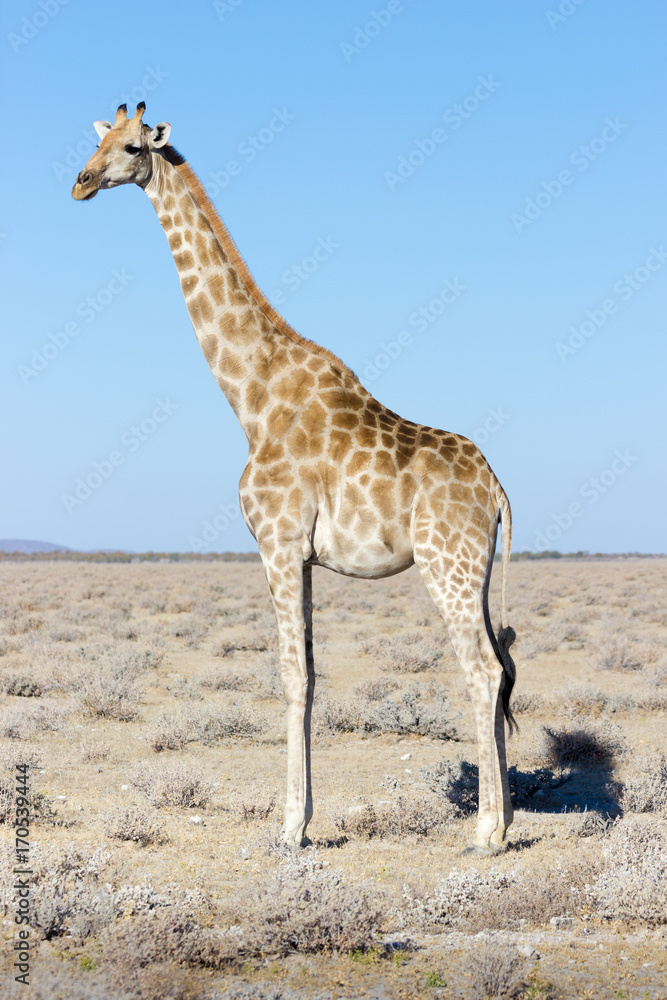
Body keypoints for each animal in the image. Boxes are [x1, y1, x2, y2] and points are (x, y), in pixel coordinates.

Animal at [72, 103, 518, 856]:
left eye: (131, 148)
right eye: (96, 142)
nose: (79, 183)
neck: (251, 397)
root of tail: (498, 493)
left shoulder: (276, 542)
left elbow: (290, 675)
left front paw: (289, 828)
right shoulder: (303, 556)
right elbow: (308, 672)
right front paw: (301, 817)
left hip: (446, 565)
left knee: (483, 670)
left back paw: (486, 833)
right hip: (476, 571)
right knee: (502, 667)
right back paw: (502, 821)